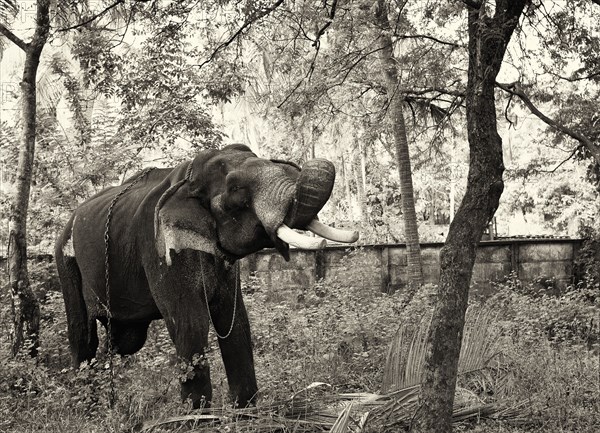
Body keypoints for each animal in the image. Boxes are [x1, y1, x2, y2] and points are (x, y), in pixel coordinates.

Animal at [54, 144, 358, 408]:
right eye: (235, 189)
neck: (189, 180)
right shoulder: (157, 247)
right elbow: (190, 323)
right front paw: (199, 419)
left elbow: (236, 321)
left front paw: (245, 413)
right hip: (65, 261)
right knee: (83, 337)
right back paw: (87, 409)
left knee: (122, 342)